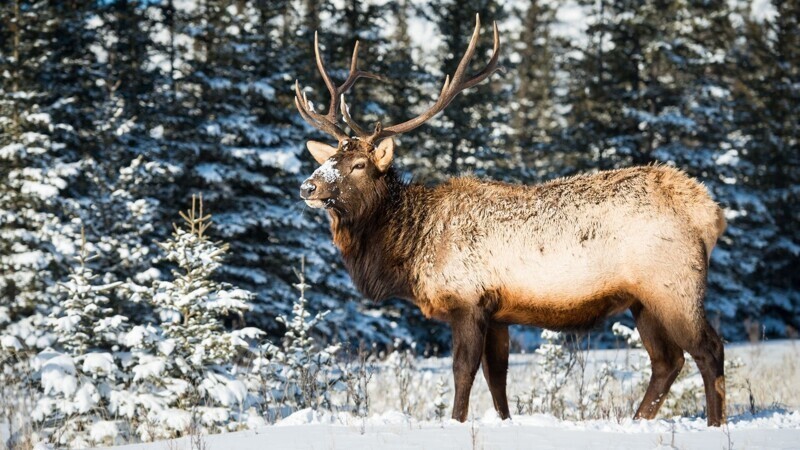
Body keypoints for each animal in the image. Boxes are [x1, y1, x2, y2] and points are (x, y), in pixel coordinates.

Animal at [296, 15, 728, 428]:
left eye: (359, 164)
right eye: (328, 158)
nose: (308, 186)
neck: (410, 249)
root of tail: (709, 211)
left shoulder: (467, 299)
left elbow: (464, 372)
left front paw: (456, 422)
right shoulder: (498, 312)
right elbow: (497, 378)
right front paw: (504, 422)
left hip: (673, 285)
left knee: (709, 349)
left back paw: (714, 424)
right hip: (643, 299)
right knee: (667, 361)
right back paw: (637, 422)